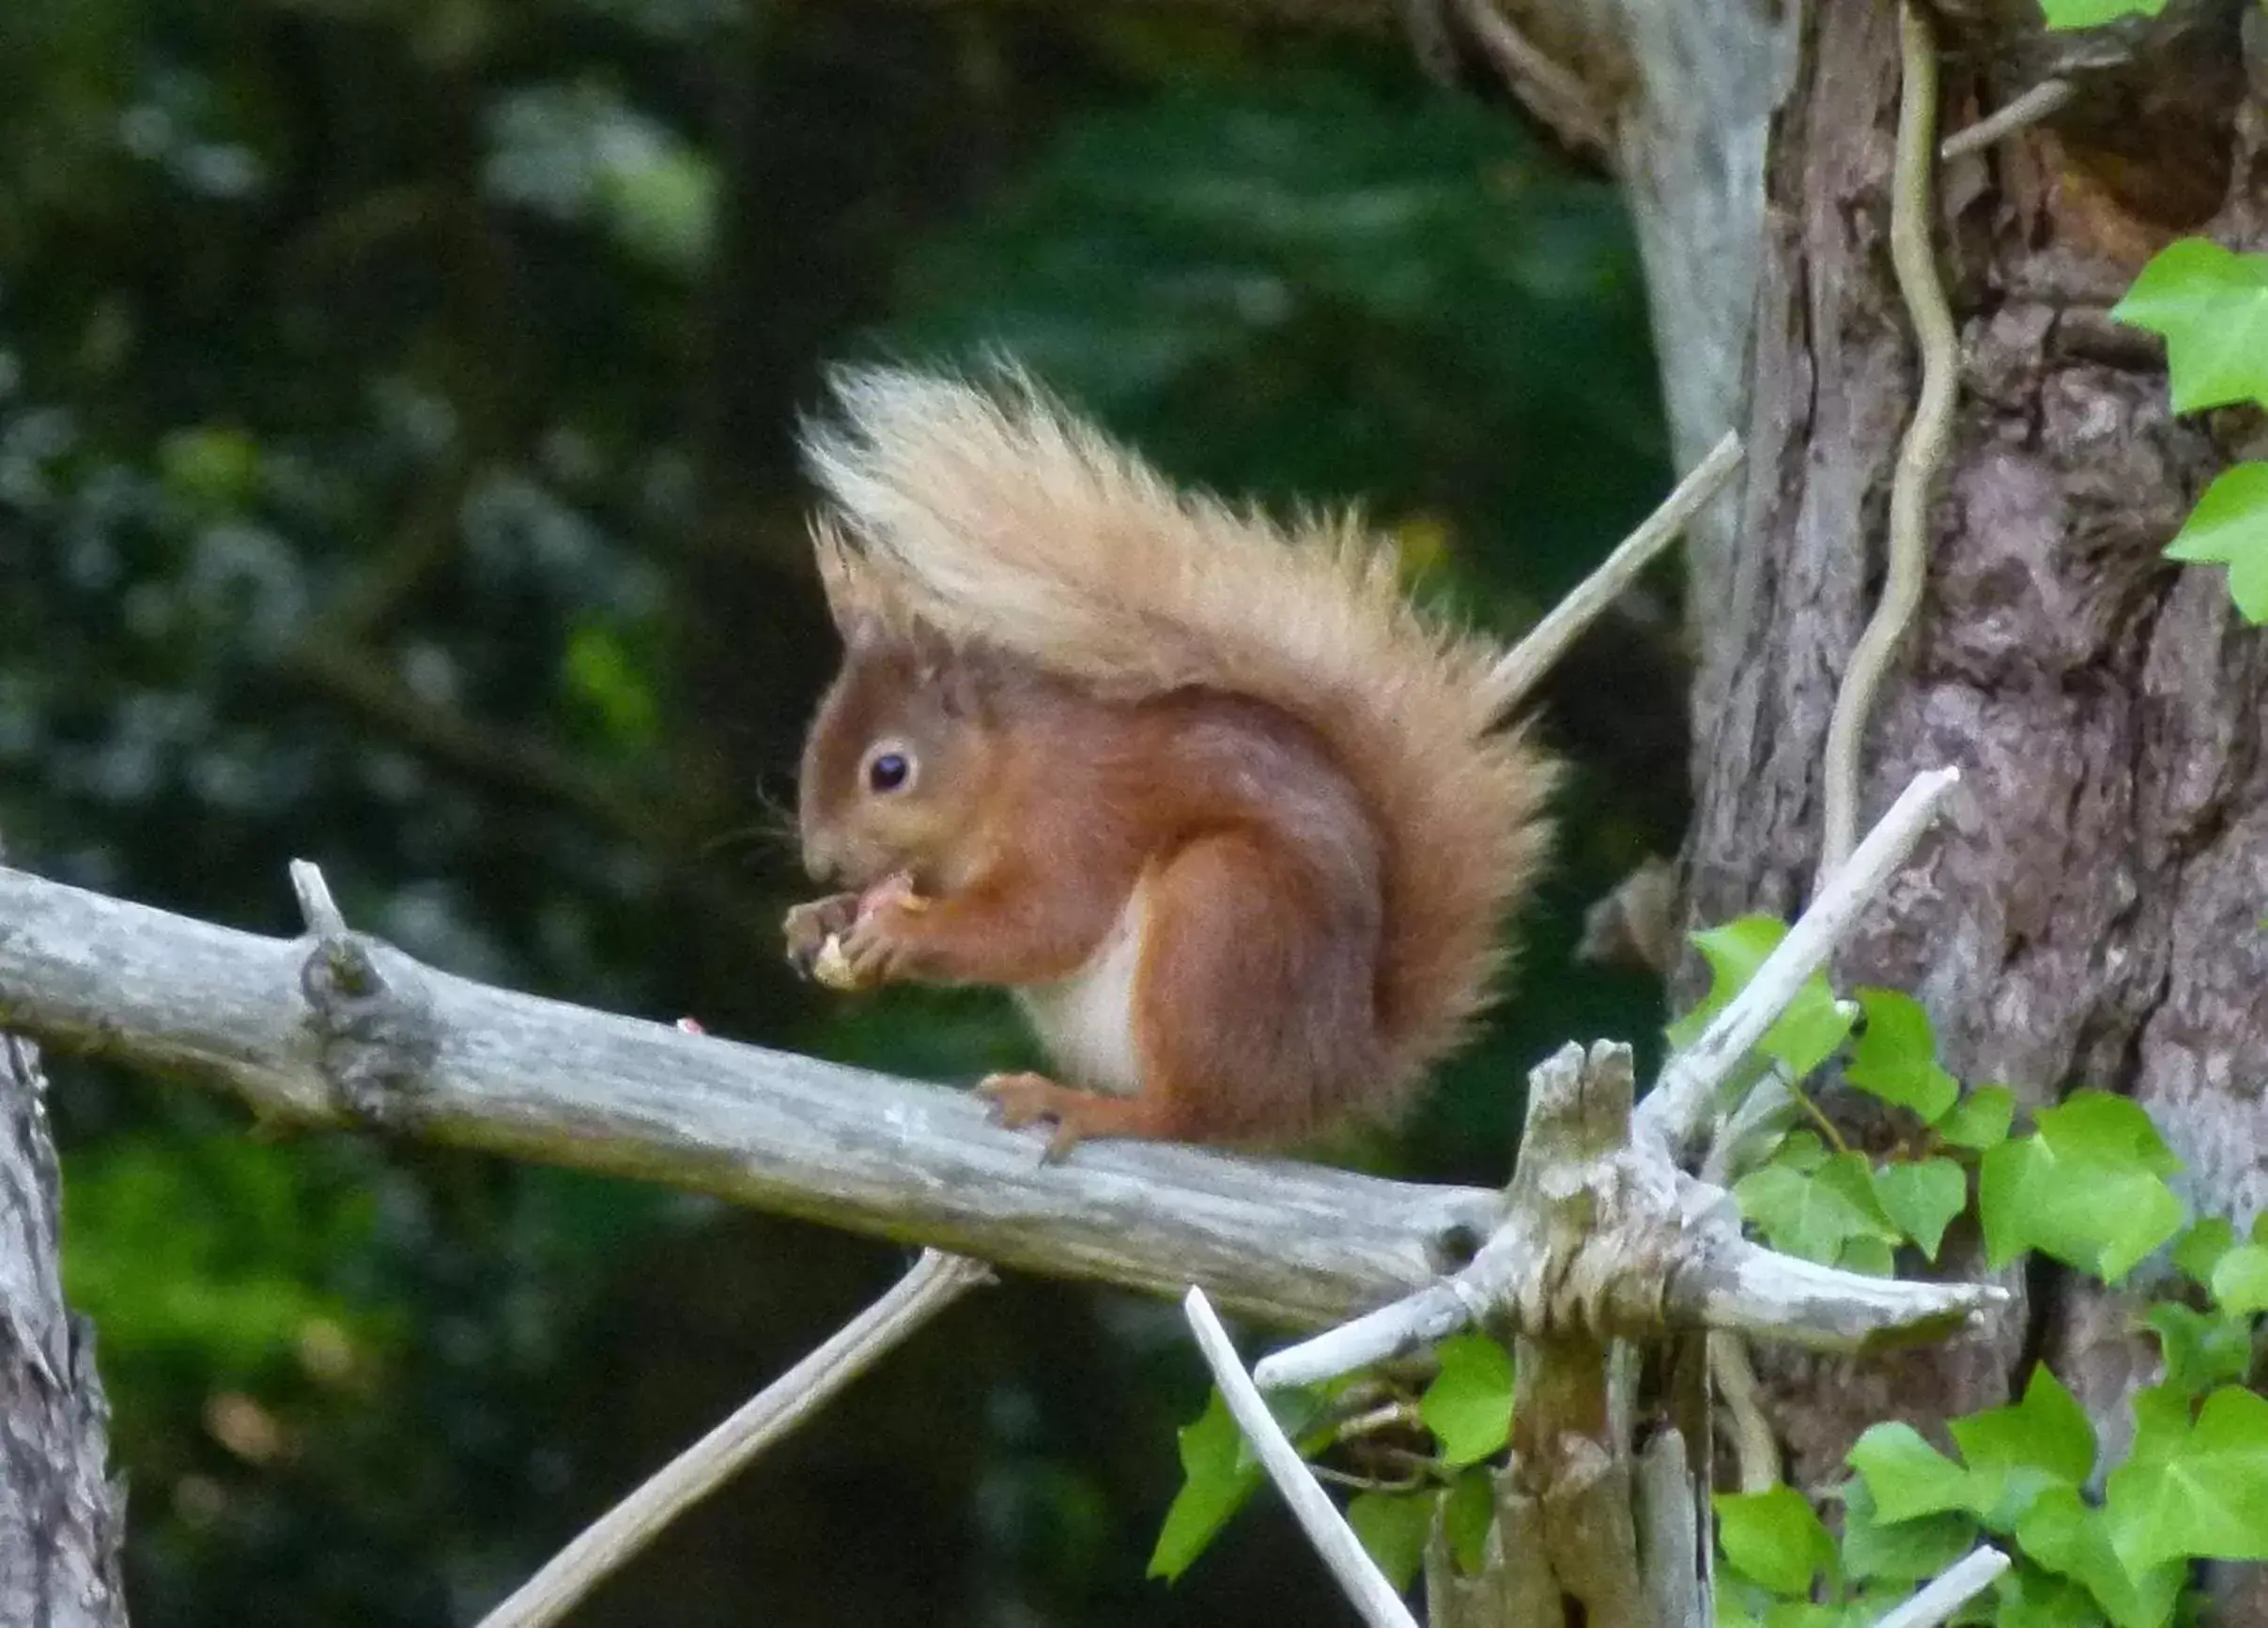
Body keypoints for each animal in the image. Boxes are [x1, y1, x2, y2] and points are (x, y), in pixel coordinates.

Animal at [784, 369, 1560, 1160]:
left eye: (889, 771)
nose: (820, 862)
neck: (1003, 767)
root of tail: (1328, 1074)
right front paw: (817, 918)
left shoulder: (1076, 814)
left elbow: (1044, 923)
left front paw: (900, 933)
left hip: (1220, 918)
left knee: (1184, 1113)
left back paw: (1085, 1106)